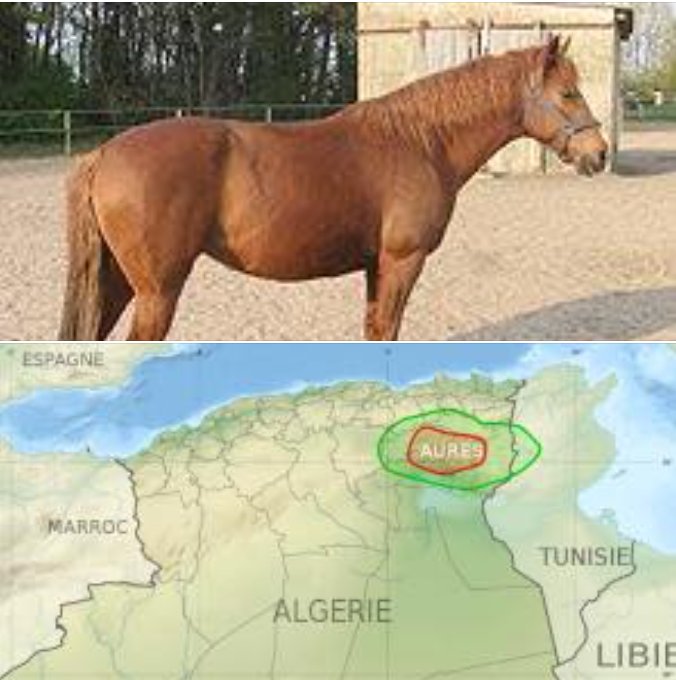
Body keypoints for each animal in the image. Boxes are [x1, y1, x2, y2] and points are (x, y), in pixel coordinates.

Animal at [58, 35, 607, 342]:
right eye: (568, 93)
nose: (599, 153)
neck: (420, 142)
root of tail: (104, 153)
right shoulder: (402, 261)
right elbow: (388, 331)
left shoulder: (375, 266)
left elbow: (374, 331)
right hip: (156, 291)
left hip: (118, 282)